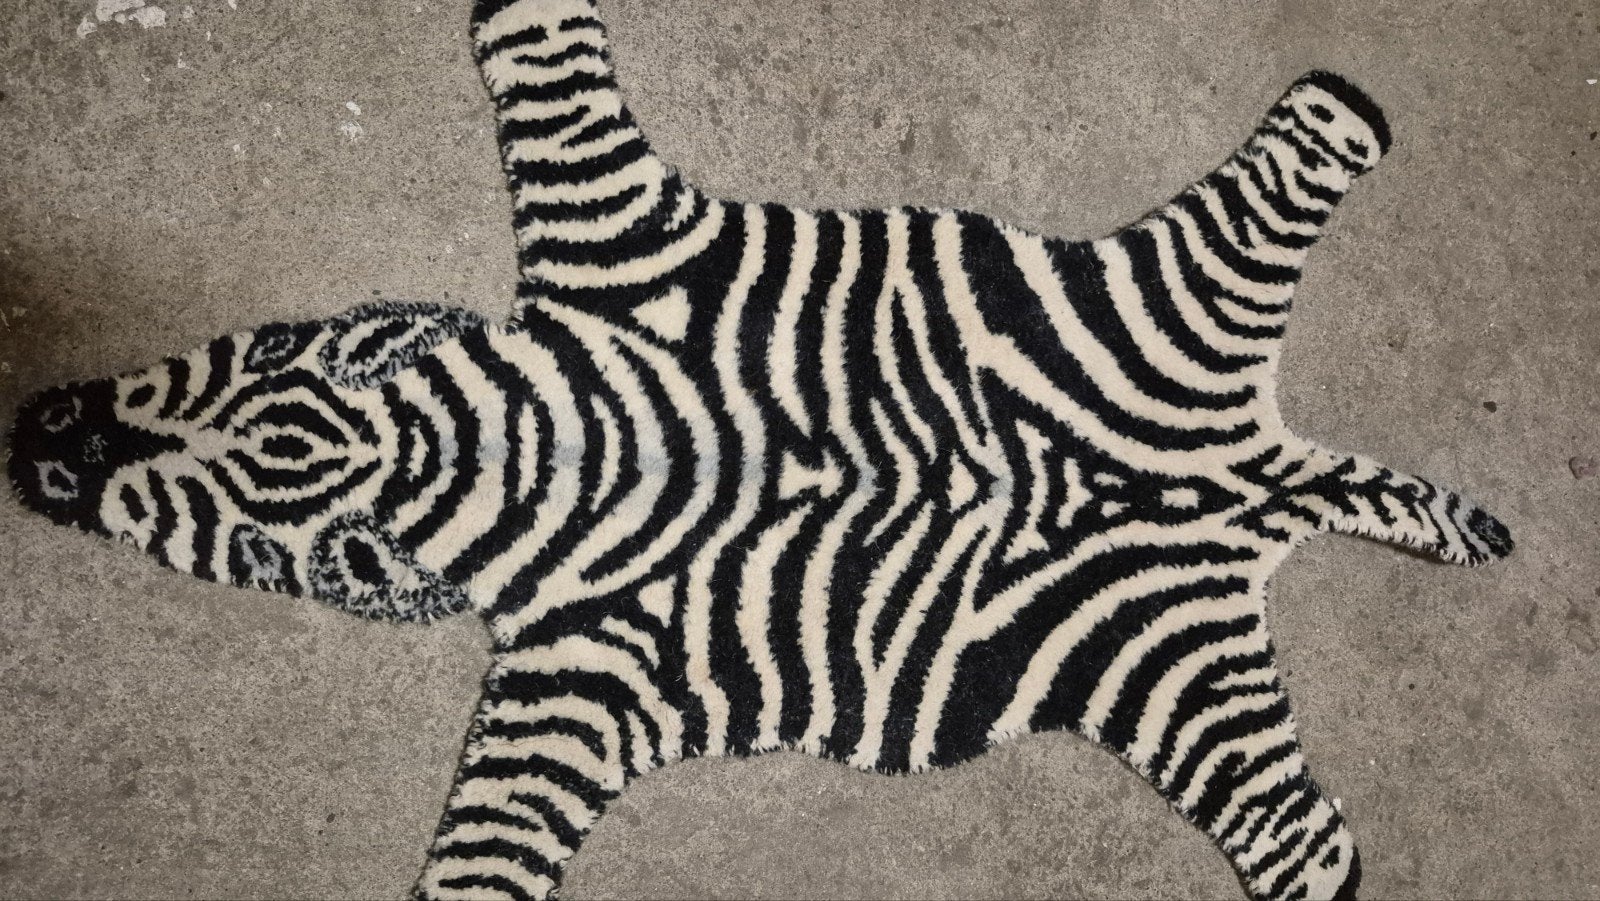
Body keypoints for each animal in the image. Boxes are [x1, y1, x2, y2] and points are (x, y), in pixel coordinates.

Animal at [5, 0, 1514, 898]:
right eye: (246, 358)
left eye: (211, 536)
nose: (31, 439)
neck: (548, 449)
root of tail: (1248, 482)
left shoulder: (577, 656)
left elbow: (554, 82)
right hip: (1175, 609)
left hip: (1154, 420)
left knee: (1311, 843)